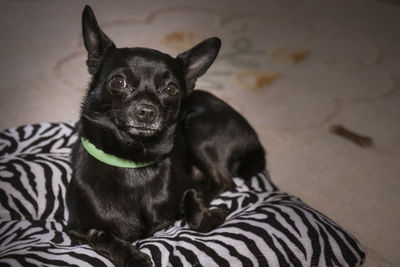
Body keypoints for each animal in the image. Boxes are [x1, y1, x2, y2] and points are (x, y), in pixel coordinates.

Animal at [66, 4, 266, 267]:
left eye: (171, 89)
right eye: (119, 81)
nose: (146, 112)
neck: (132, 163)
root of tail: (253, 137)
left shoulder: (187, 188)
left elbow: (195, 211)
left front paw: (212, 213)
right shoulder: (74, 229)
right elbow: (101, 235)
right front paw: (132, 257)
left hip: (198, 130)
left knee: (223, 180)